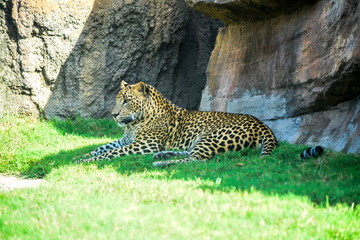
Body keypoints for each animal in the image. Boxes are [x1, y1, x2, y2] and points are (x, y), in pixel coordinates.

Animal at [75, 80, 278, 167]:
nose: (113, 114)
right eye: (118, 100)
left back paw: (160, 163)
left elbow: (110, 153)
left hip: (213, 136)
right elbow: (101, 147)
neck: (133, 124)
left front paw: (85, 161)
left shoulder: (143, 146)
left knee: (197, 160)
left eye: (126, 101)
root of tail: (263, 125)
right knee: (190, 154)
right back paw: (163, 155)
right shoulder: (125, 141)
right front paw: (80, 156)